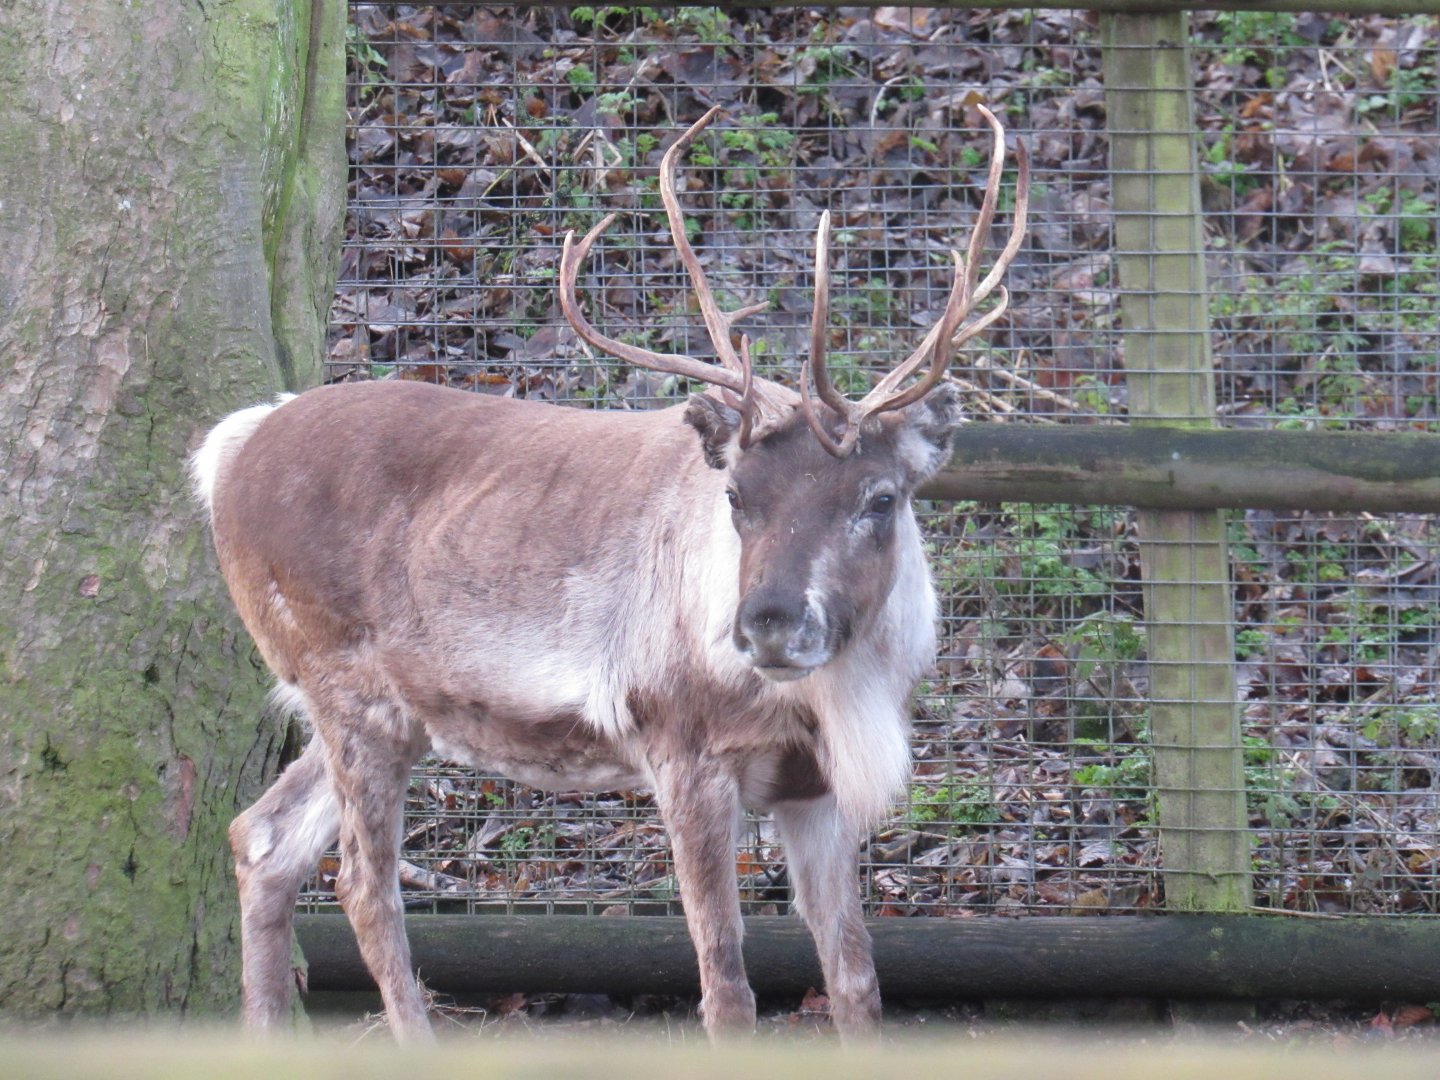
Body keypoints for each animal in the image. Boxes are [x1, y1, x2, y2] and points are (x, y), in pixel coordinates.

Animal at [192, 104, 1027, 1043]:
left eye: (880, 498)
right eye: (736, 494)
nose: (767, 623)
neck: (847, 698)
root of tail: (227, 451)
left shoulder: (811, 786)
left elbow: (856, 981)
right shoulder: (681, 747)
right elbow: (725, 989)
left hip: (381, 714)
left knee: (262, 839)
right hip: (350, 692)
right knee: (364, 889)